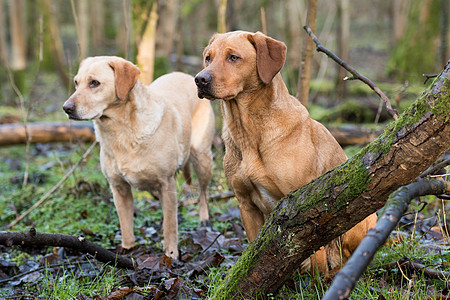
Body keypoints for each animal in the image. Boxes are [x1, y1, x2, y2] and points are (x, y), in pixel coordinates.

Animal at [62, 55, 214, 258]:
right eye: (76, 83)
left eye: (94, 83)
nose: (66, 108)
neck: (121, 133)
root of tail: (188, 76)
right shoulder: (119, 188)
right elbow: (125, 224)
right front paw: (127, 250)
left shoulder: (167, 182)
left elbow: (171, 226)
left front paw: (171, 254)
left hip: (202, 157)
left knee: (203, 192)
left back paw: (204, 219)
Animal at [195, 31, 378, 274]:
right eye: (208, 58)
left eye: (233, 57)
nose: (200, 79)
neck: (247, 132)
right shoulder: (246, 205)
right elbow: (257, 255)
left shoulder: (304, 204)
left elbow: (316, 258)